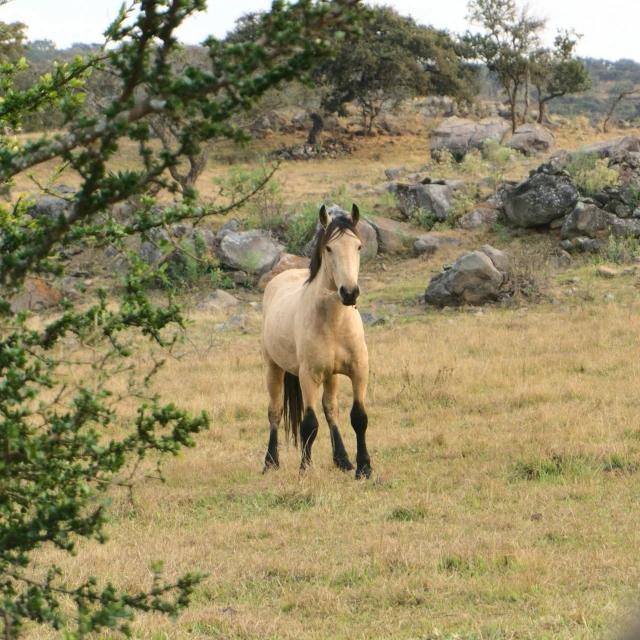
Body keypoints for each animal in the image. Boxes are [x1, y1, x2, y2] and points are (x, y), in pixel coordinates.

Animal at [258, 205, 370, 480]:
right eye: (328, 248)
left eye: (358, 247)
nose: (349, 292)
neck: (334, 323)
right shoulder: (308, 376)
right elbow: (309, 423)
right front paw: (304, 469)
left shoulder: (359, 370)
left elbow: (358, 417)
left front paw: (363, 467)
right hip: (273, 368)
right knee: (275, 412)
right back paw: (270, 461)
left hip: (332, 375)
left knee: (331, 409)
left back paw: (342, 459)